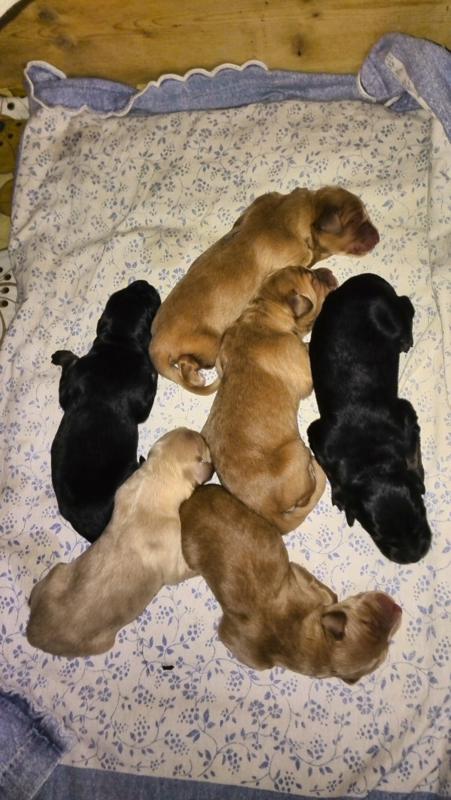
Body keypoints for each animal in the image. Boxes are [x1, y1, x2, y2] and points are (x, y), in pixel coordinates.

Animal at [27, 428, 213, 657]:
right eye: (204, 444)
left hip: (56, 571)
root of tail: (32, 633)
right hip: (100, 644)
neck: (155, 478)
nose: (205, 437)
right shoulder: (173, 567)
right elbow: (188, 568)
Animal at [51, 280, 161, 543]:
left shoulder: (74, 380)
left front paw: (63, 356)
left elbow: (68, 373)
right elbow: (146, 401)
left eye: (127, 289)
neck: (118, 341)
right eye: (147, 299)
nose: (143, 282)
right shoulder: (141, 395)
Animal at [150, 186, 379, 394]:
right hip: (209, 346)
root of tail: (156, 346)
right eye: (356, 221)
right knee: (187, 363)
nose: (377, 236)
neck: (302, 210)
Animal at [202, 265, 337, 533]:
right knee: (307, 491)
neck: (263, 312)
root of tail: (267, 512)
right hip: (297, 451)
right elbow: (309, 348)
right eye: (312, 278)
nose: (324, 270)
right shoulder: (305, 368)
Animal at [307, 273, 431, 563]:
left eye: (420, 515)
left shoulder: (406, 418)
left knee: (406, 305)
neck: (371, 459)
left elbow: (413, 453)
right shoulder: (318, 439)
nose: (413, 557)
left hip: (389, 315)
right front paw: (340, 494)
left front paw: (417, 473)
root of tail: (365, 280)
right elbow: (330, 471)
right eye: (378, 535)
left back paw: (406, 338)